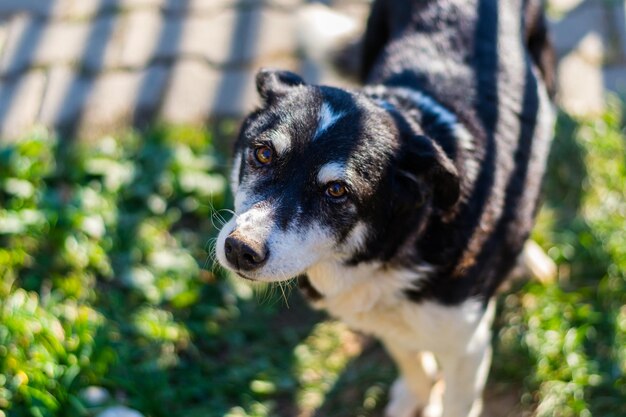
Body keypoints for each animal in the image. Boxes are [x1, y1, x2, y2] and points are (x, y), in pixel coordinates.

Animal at [213, 1, 552, 414]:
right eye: (263, 153)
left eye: (337, 190)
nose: (240, 250)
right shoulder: (383, 320)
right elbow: (413, 365)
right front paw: (415, 398)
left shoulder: (467, 347)